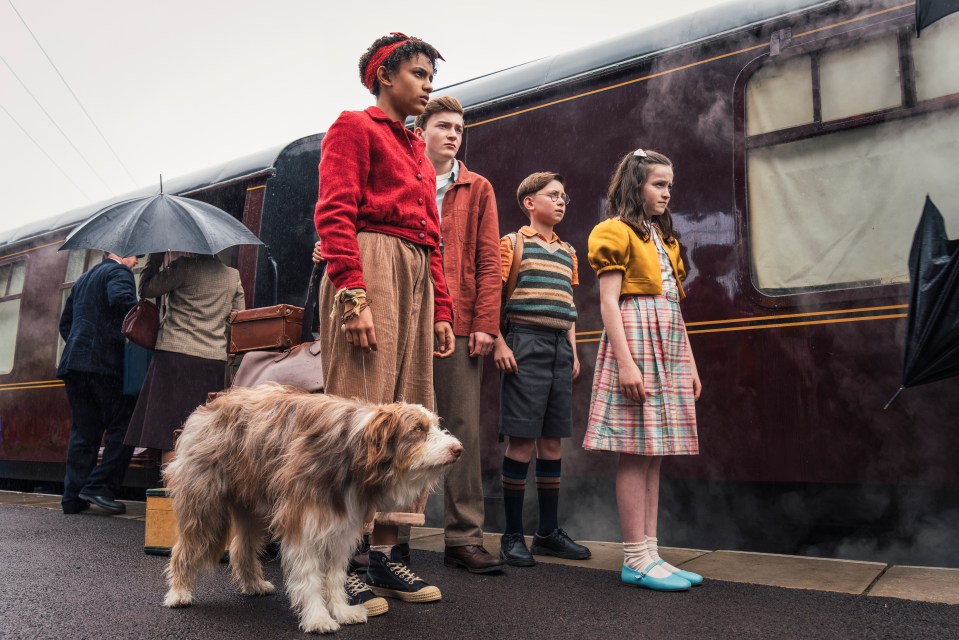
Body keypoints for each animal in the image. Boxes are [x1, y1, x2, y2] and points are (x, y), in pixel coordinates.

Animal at [163, 382, 464, 632]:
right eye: (417, 429)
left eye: (434, 426)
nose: (458, 449)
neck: (354, 449)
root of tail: (211, 403)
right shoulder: (304, 524)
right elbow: (309, 577)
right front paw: (318, 618)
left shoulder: (341, 527)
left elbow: (334, 576)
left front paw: (342, 611)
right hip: (205, 506)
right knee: (183, 548)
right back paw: (179, 592)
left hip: (253, 508)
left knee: (241, 549)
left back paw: (253, 584)